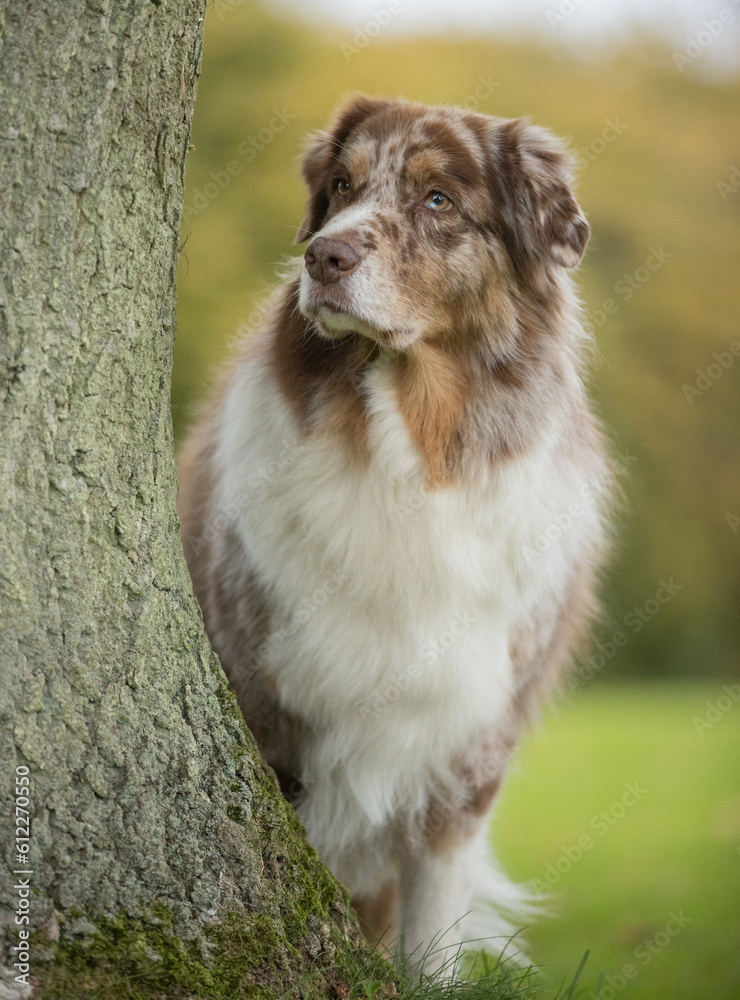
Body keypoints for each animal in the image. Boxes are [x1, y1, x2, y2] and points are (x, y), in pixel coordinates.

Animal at [176, 95, 608, 976]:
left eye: (438, 200)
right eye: (341, 186)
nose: (324, 255)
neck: (400, 443)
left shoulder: (471, 740)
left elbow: (433, 920)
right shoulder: (275, 716)